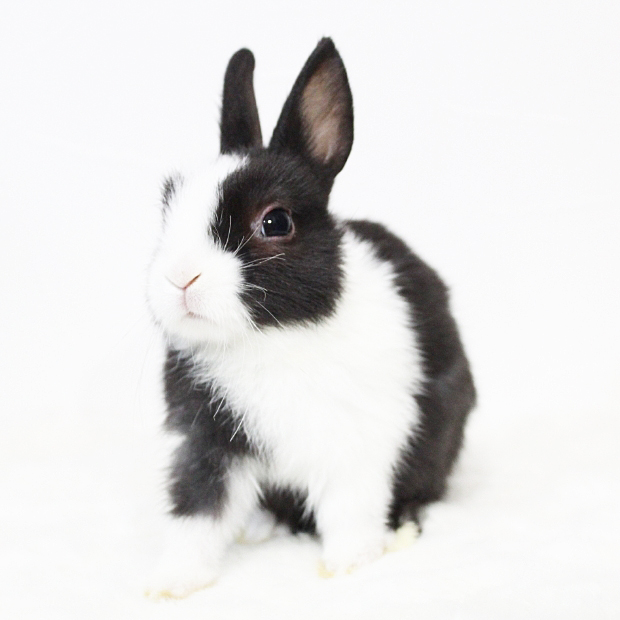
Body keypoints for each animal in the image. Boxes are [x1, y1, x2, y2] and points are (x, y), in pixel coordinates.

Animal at [145, 37, 475, 599]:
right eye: (169, 208)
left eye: (275, 221)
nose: (180, 278)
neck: (272, 335)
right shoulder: (208, 441)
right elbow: (197, 511)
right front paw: (172, 584)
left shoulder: (358, 442)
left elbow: (350, 510)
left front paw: (346, 566)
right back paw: (258, 528)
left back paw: (401, 531)